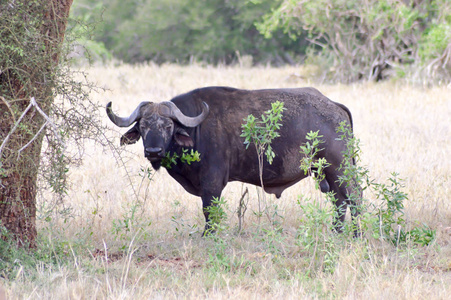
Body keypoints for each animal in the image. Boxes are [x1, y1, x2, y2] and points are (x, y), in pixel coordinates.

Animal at [107, 85, 360, 233]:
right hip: (326, 172)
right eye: (143, 126)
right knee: (339, 201)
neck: (197, 130)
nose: (153, 150)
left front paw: (208, 235)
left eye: (168, 126)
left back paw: (356, 233)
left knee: (354, 198)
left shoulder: (212, 182)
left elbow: (209, 210)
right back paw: (336, 231)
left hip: (340, 168)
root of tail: (334, 106)